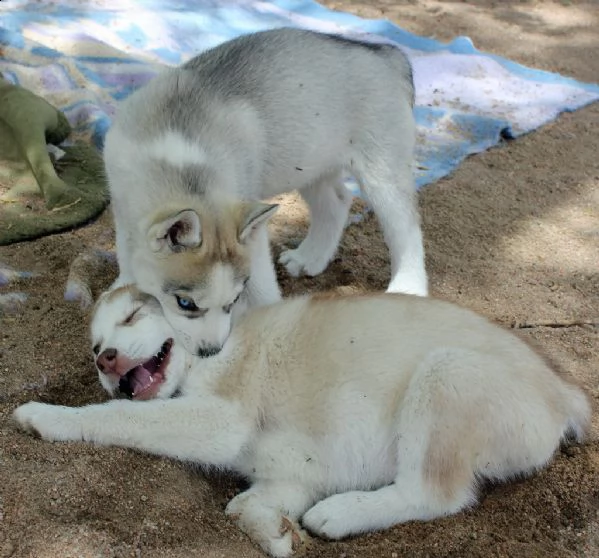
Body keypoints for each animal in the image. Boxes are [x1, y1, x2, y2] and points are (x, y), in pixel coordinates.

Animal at [14, 288, 592, 558]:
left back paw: (342, 513)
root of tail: (561, 391)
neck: (211, 355)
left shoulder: (220, 417)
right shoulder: (292, 475)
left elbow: (117, 416)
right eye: (93, 348)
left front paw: (45, 417)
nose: (105, 360)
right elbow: (241, 506)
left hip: (446, 373)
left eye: (133, 317)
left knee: (436, 494)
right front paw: (275, 536)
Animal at [103, 26, 424, 356]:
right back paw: (309, 258)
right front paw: (123, 287)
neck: (178, 157)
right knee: (337, 201)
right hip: (310, 164)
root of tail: (386, 54)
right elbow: (127, 252)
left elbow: (261, 286)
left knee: (406, 228)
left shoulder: (251, 232)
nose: (211, 351)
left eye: (233, 301)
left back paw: (408, 286)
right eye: (185, 303)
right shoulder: (123, 205)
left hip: (382, 169)